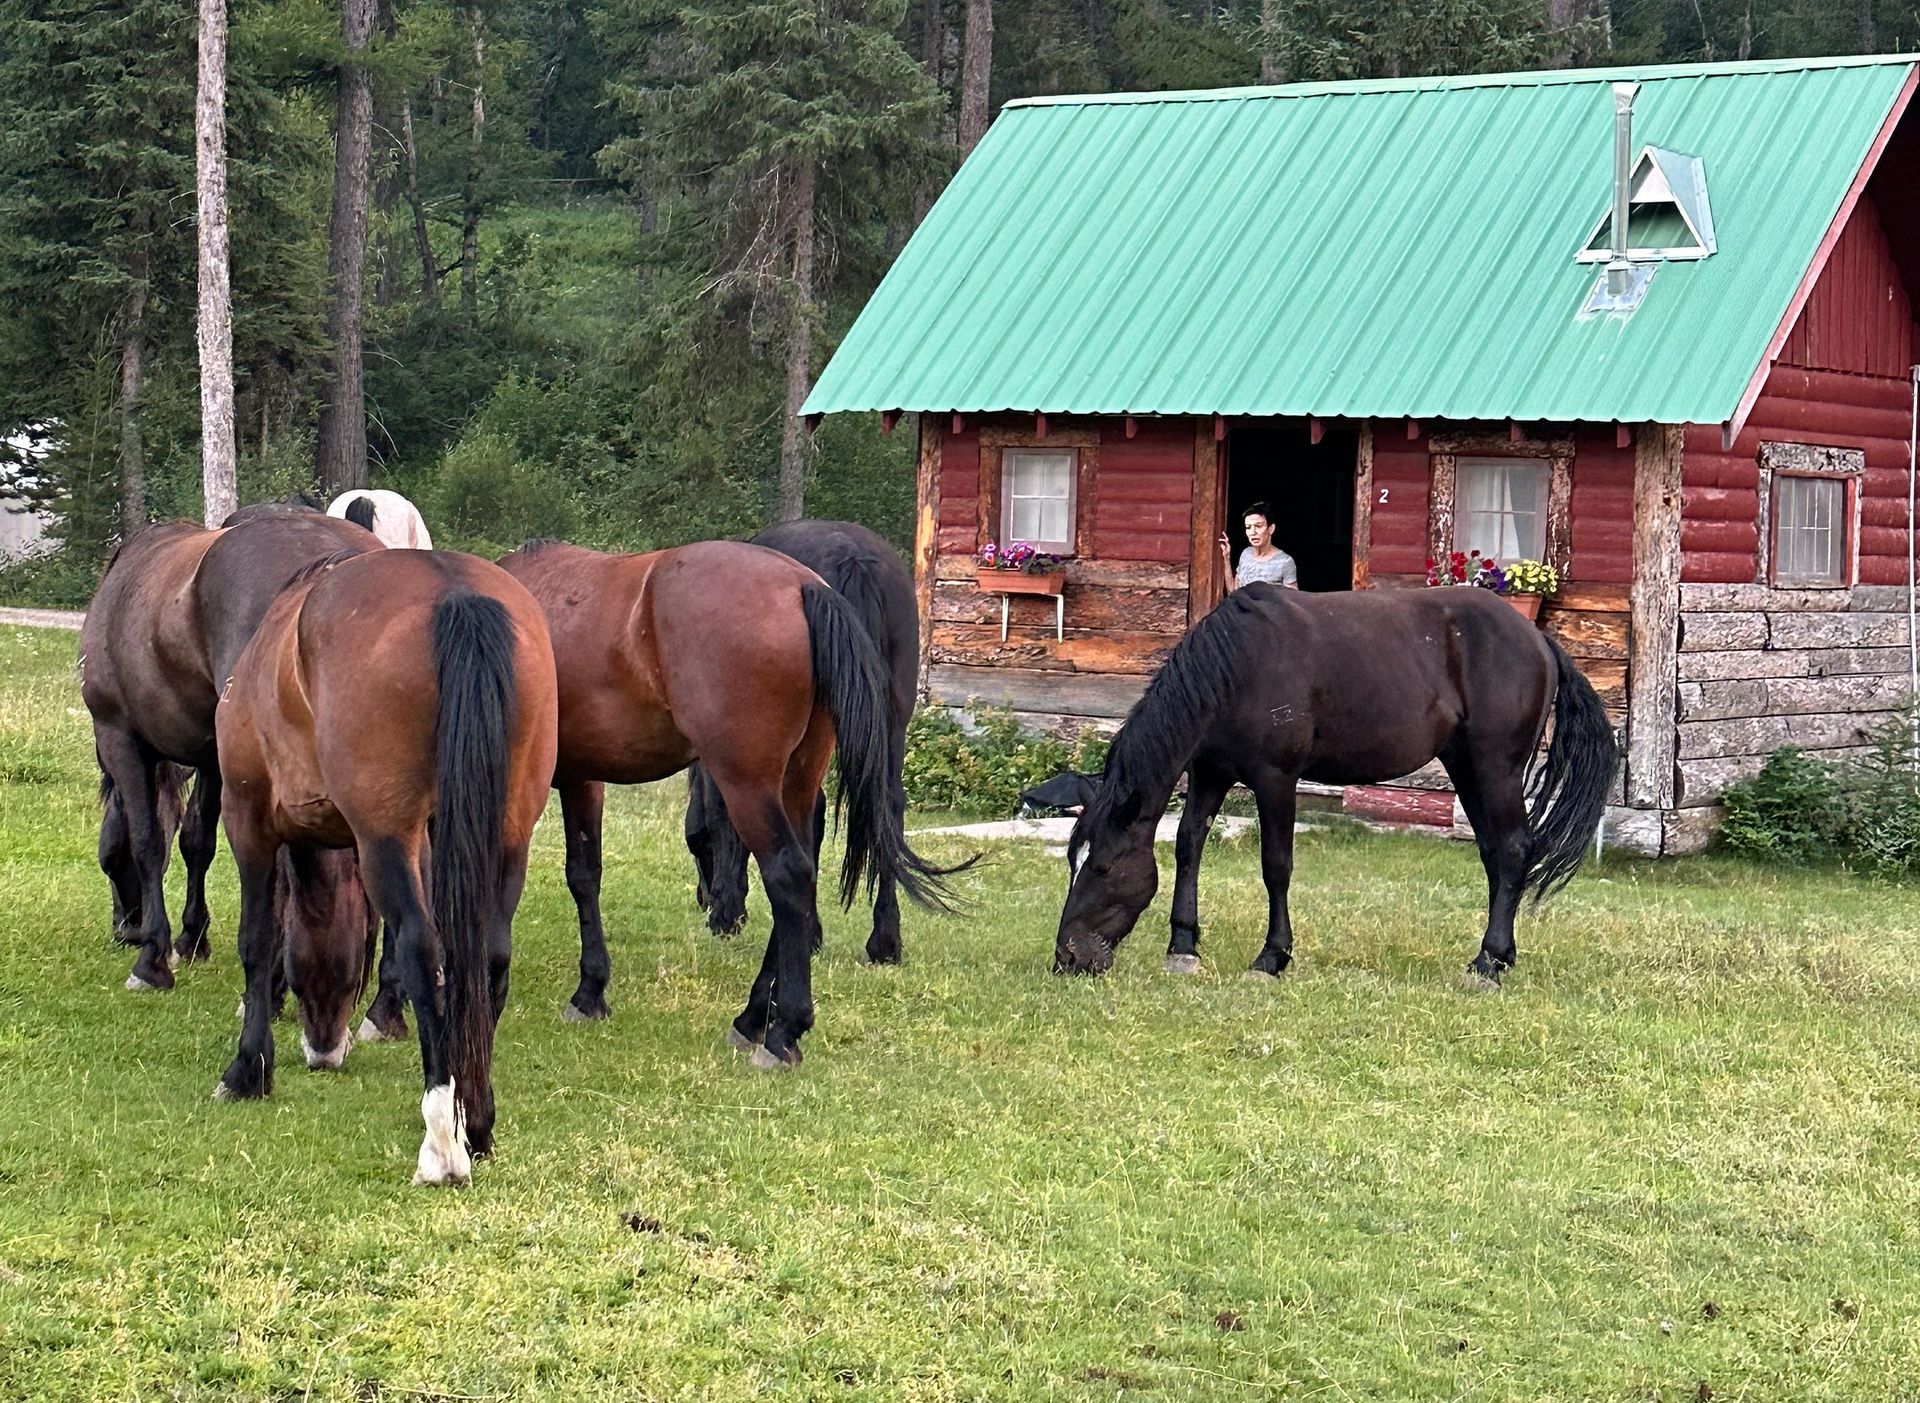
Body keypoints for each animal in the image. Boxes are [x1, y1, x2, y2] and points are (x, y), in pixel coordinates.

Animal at [78, 511, 383, 991]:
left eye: (108, 863)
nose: (125, 928)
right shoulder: (213, 761)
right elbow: (196, 842)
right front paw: (191, 938)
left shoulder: (119, 737)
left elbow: (148, 841)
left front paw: (153, 957)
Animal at [213, 549, 557, 1187]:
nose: (325, 1050)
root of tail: (455, 593)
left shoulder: (246, 818)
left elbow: (258, 941)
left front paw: (248, 1070)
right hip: (508, 834)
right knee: (489, 959)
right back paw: (477, 1121)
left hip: (383, 835)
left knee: (424, 948)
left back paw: (443, 1143)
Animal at [682, 519, 924, 964]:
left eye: (697, 844)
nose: (704, 898)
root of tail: (853, 559)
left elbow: (729, 818)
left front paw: (730, 913)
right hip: (890, 721)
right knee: (888, 807)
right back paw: (884, 941)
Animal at [1053, 585, 1617, 982]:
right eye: (1072, 862)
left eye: (1102, 867)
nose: (1067, 957)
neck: (1237, 666)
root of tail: (1539, 640)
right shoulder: (1210, 773)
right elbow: (1189, 845)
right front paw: (1183, 947)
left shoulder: (1276, 779)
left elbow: (1276, 866)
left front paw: (1272, 957)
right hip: (1468, 768)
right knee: (1497, 853)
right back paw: (1500, 956)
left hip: (1496, 767)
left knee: (1515, 847)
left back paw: (1487, 963)